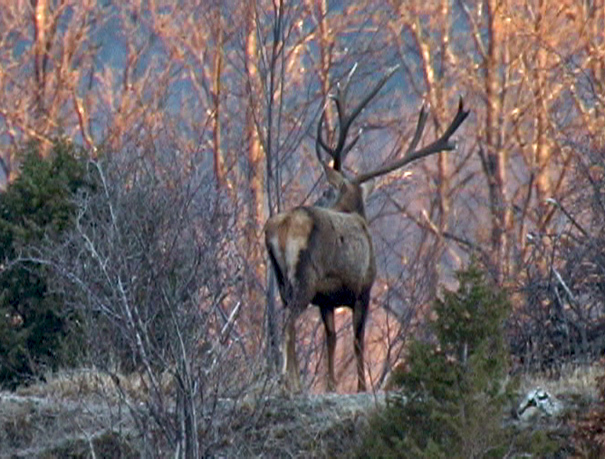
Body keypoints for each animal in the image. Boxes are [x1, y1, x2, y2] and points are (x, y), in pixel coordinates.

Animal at [266, 64, 472, 394]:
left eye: (326, 190)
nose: (319, 198)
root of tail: (282, 226)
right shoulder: (364, 287)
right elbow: (357, 341)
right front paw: (363, 387)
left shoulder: (327, 300)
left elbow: (331, 340)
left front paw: (331, 385)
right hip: (305, 277)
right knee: (289, 322)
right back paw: (291, 381)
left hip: (282, 279)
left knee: (287, 321)